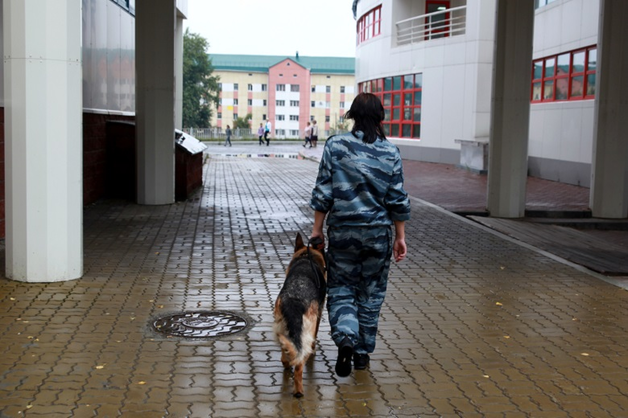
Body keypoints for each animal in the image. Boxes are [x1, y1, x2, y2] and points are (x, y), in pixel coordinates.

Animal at [272, 233, 326, 396]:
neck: (306, 256)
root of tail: (294, 299)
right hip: (306, 331)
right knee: (299, 364)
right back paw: (298, 391)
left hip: (282, 328)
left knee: (286, 353)